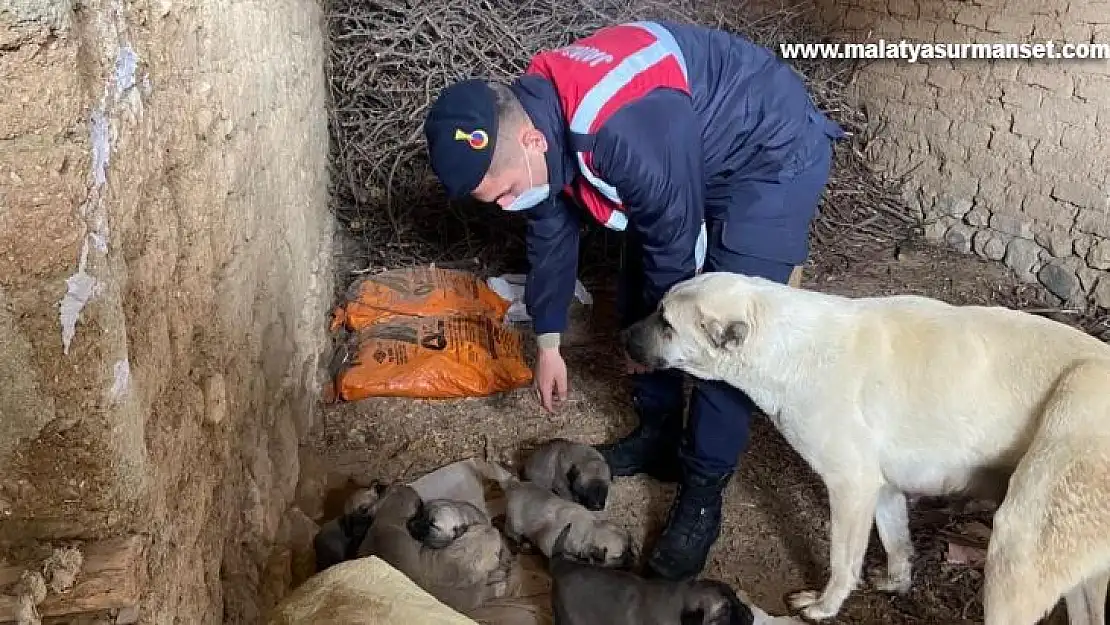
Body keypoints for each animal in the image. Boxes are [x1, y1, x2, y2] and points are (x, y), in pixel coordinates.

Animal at [495, 472, 634, 568]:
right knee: (511, 532)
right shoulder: (547, 543)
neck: (590, 529)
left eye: (628, 545)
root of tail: (514, 484)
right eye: (619, 555)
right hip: (515, 525)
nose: (631, 557)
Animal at [626, 271, 1110, 625]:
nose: (623, 334)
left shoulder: (851, 484)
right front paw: (896, 583)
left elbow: (843, 561)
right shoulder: (882, 485)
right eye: (657, 310)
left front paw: (823, 607)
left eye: (666, 323)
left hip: (1021, 536)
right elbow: (896, 542)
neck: (787, 347)